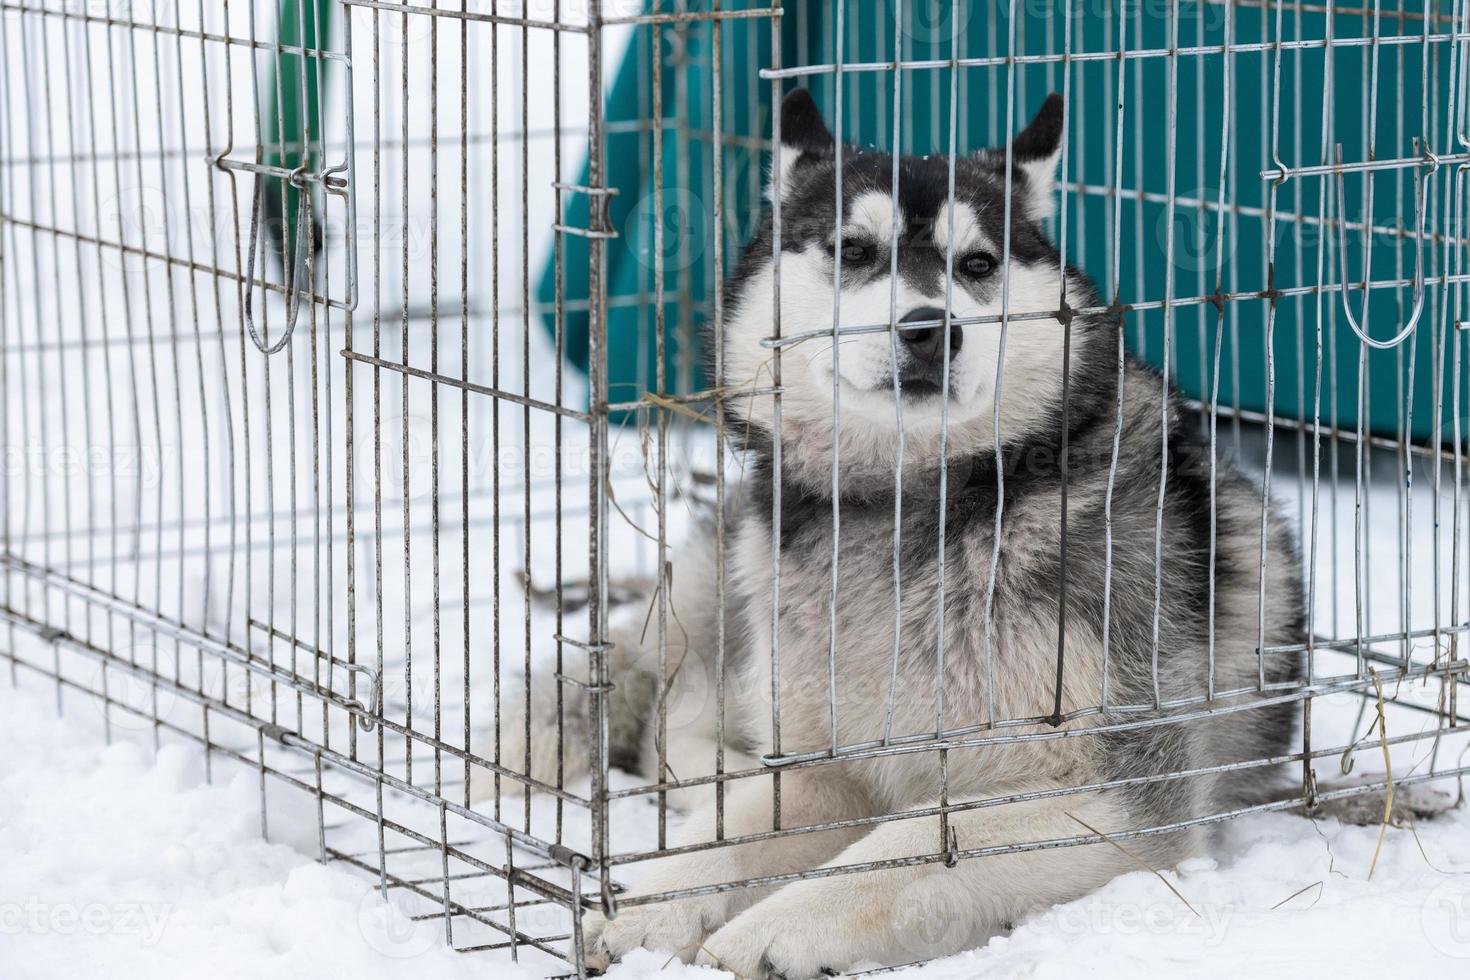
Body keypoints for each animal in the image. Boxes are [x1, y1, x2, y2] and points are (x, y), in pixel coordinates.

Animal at [479, 89, 1299, 975]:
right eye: (854, 249)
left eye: (977, 265)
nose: (928, 328)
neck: (908, 509)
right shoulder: (824, 766)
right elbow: (733, 839)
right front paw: (647, 904)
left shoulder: (1116, 790)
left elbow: (911, 843)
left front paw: (771, 931)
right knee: (676, 724)